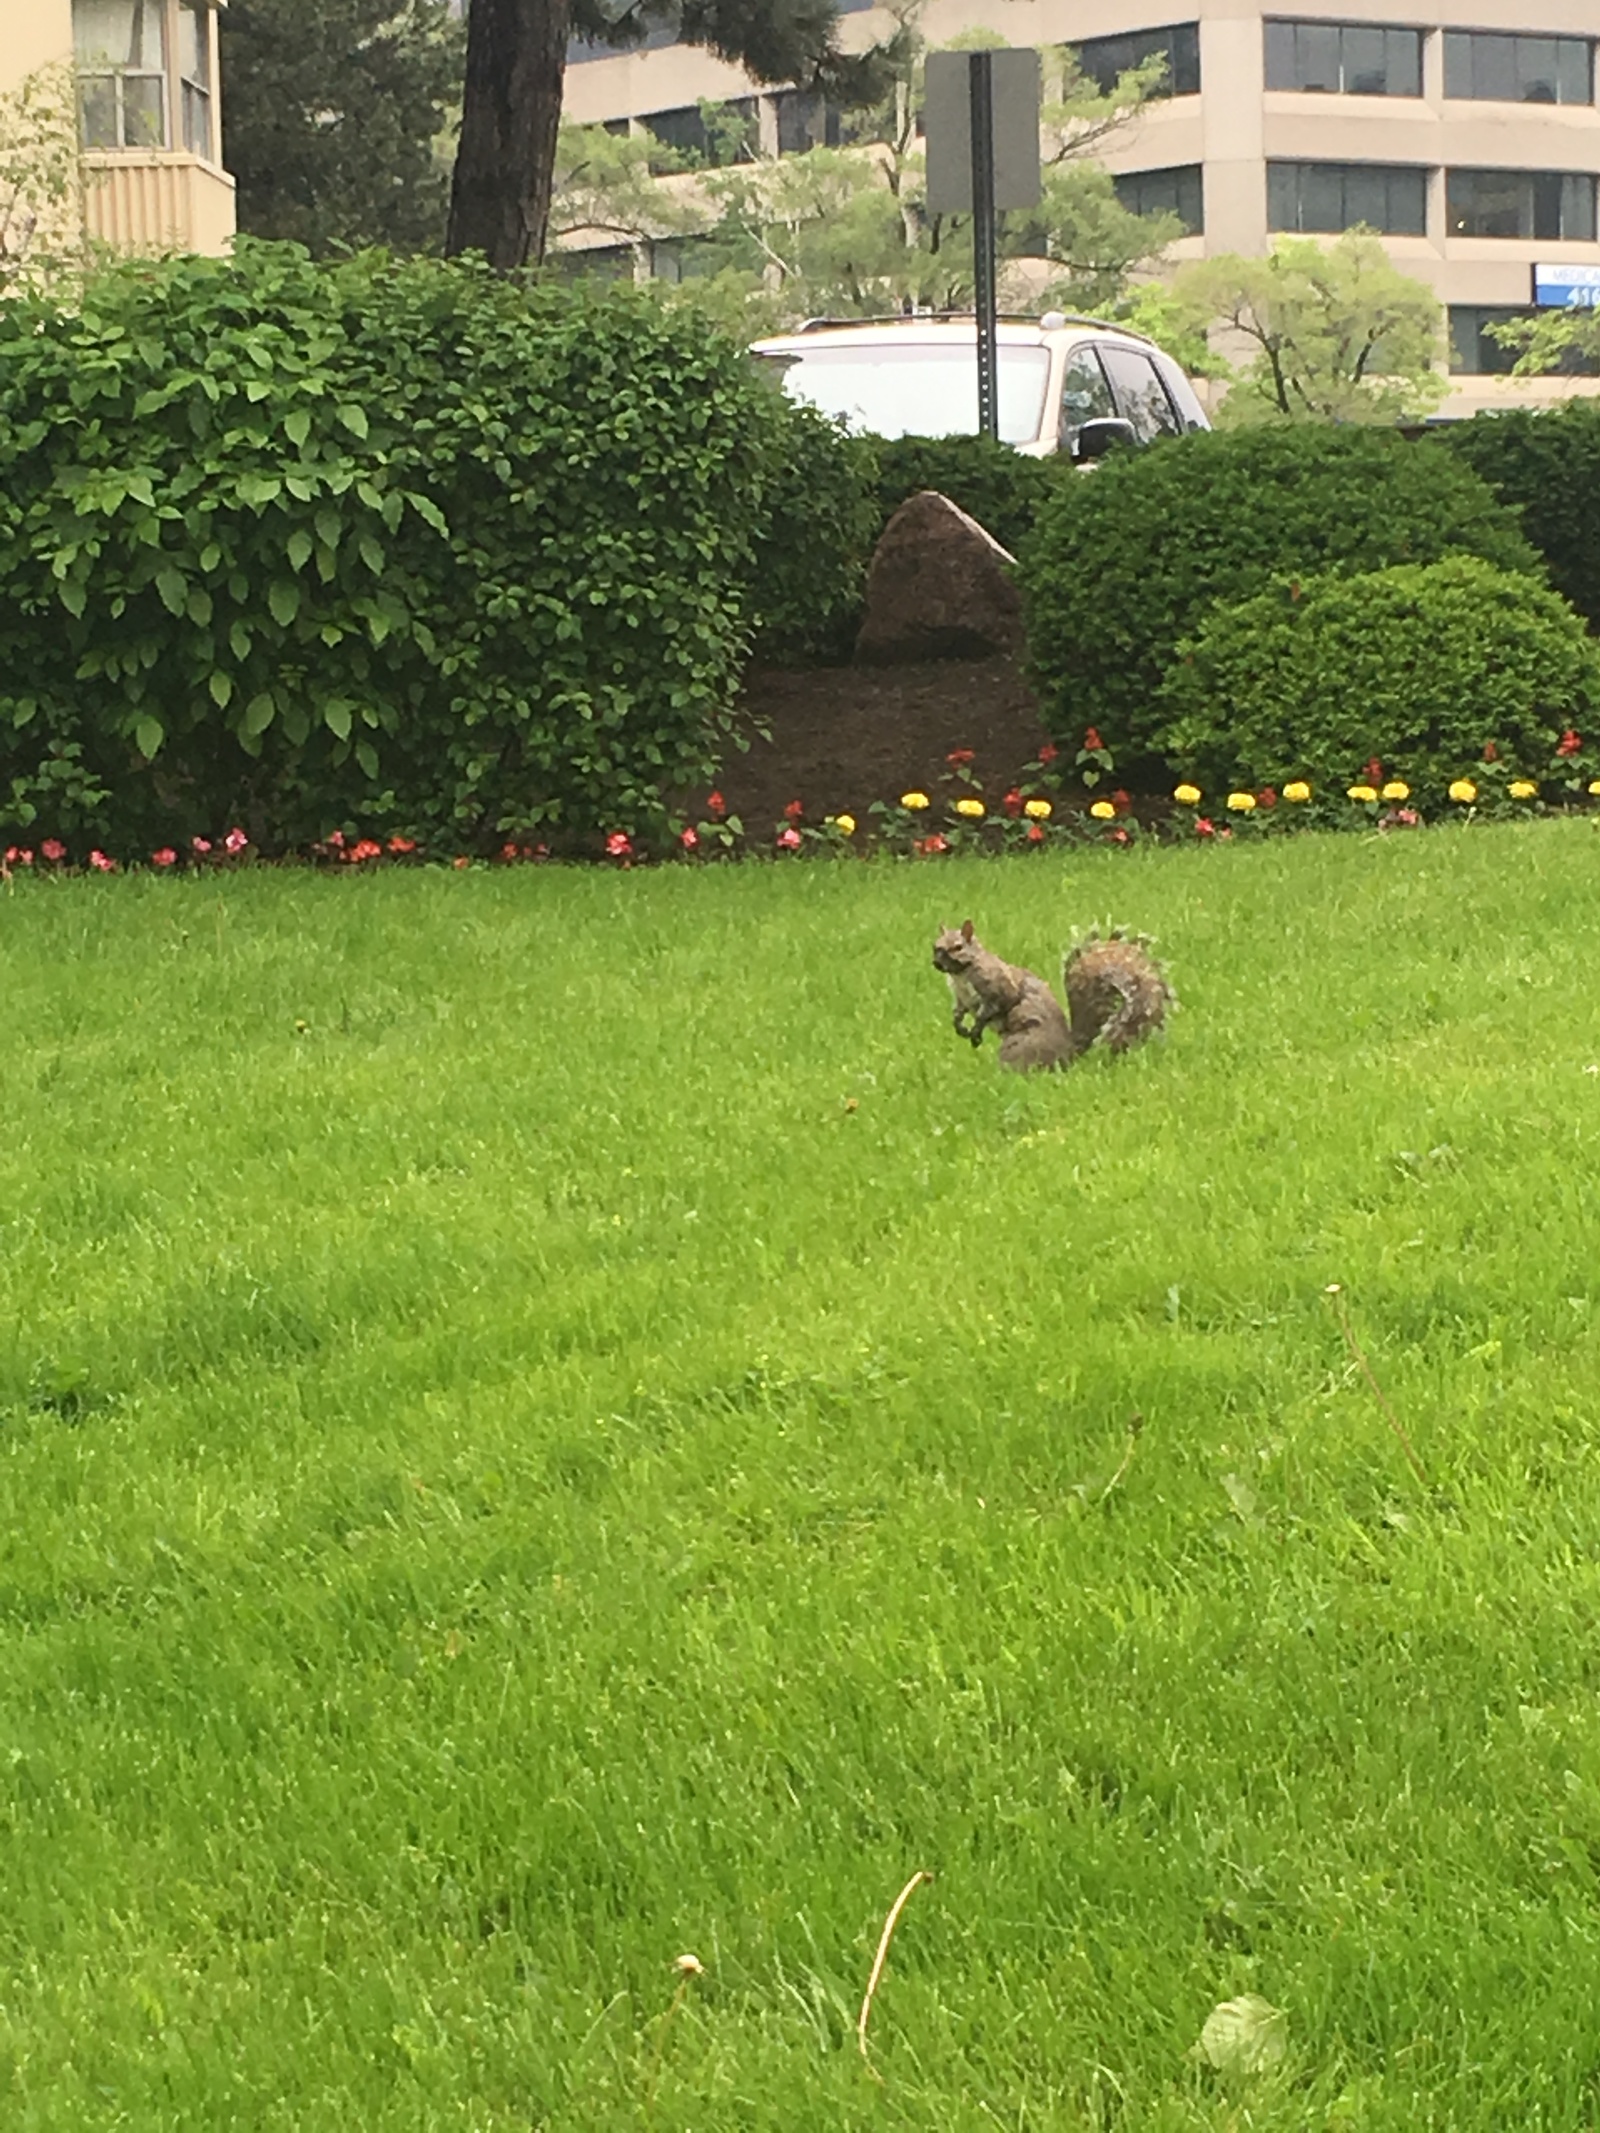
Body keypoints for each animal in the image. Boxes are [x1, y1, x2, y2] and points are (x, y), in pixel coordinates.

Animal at [925, 917, 1177, 1075]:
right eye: (935, 946)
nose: (937, 963)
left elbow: (994, 1007)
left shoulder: (998, 986)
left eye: (958, 947)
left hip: (1018, 1047)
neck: (960, 973)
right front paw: (960, 1027)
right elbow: (959, 1012)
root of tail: (1070, 1054)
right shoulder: (962, 998)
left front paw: (976, 1030)